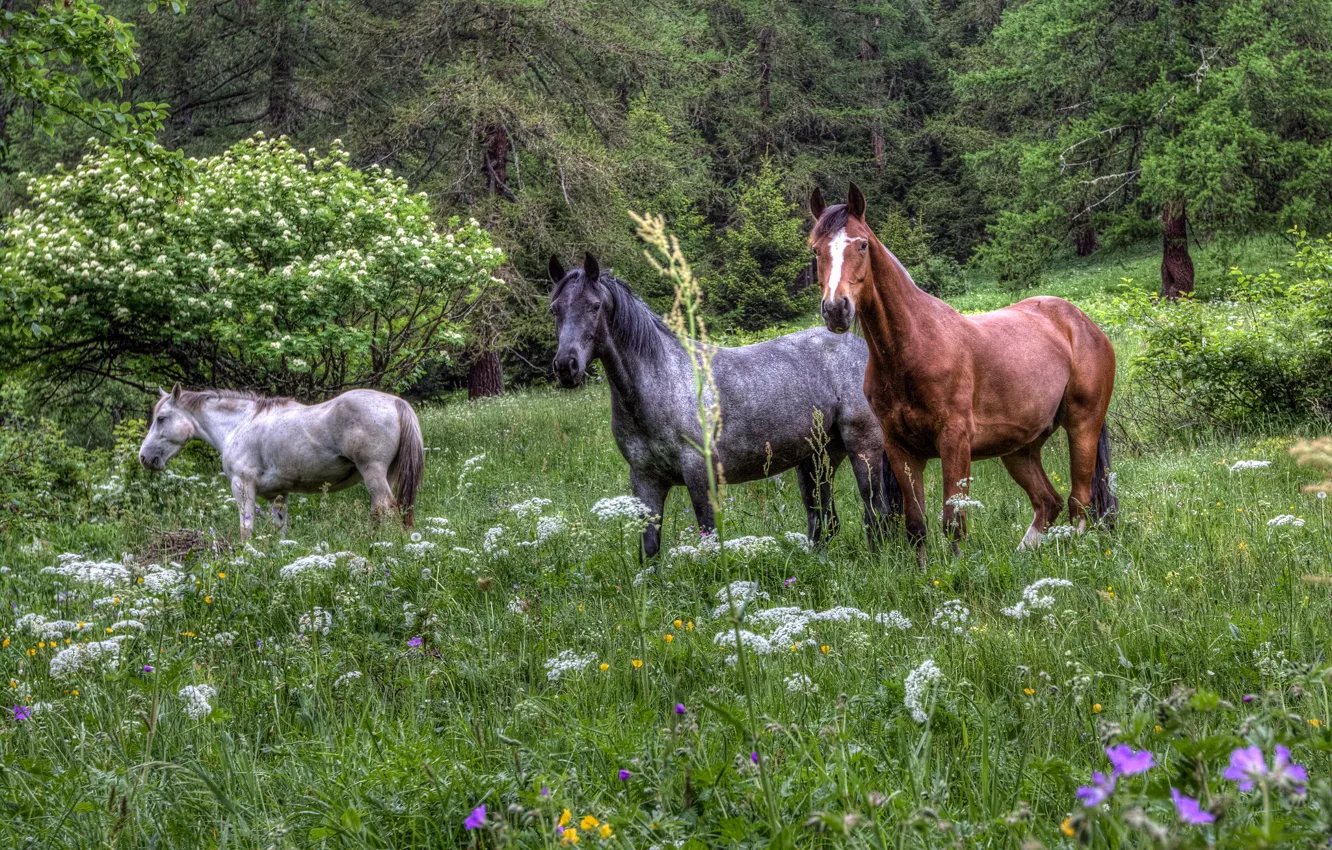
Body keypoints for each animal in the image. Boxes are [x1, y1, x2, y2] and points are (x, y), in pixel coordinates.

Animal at [139, 385, 424, 540]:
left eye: (161, 418)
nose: (144, 457)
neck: (240, 424)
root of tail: (395, 402)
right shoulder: (277, 494)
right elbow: (280, 529)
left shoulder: (242, 486)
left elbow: (245, 528)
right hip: (385, 475)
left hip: (372, 472)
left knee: (385, 508)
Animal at [549, 253, 902, 559]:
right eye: (555, 309)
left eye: (594, 306)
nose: (566, 366)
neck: (664, 380)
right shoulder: (645, 481)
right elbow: (649, 549)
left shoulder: (700, 476)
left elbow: (708, 540)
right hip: (817, 460)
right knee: (824, 523)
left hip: (862, 449)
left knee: (876, 514)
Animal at [809, 183, 1117, 567]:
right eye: (815, 250)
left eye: (862, 244)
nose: (836, 309)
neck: (912, 348)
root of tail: (1082, 323)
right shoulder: (901, 449)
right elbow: (916, 524)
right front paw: (925, 574)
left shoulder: (954, 442)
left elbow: (953, 521)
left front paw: (959, 571)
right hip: (1020, 447)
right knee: (1049, 502)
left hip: (1083, 425)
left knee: (1079, 501)